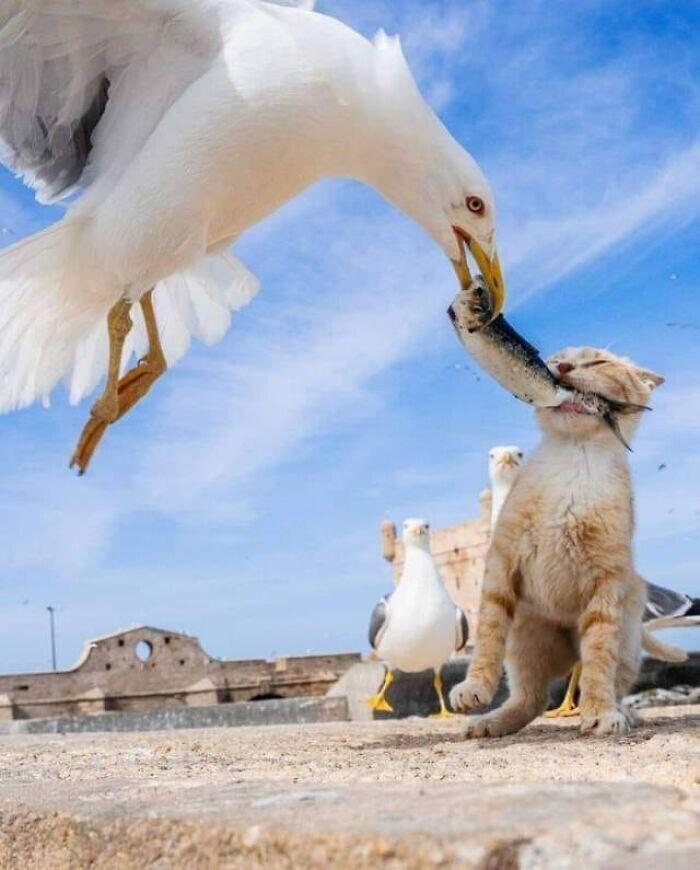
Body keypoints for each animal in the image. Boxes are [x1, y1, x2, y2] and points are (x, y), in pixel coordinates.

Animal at [452, 348, 664, 736]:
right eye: (558, 357)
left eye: (598, 363)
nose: (563, 368)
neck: (574, 459)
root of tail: (565, 654)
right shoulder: (501, 563)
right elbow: (488, 633)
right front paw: (475, 686)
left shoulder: (607, 581)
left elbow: (598, 658)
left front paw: (599, 712)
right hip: (524, 642)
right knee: (530, 699)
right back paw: (492, 722)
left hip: (627, 641)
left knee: (606, 680)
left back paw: (622, 711)